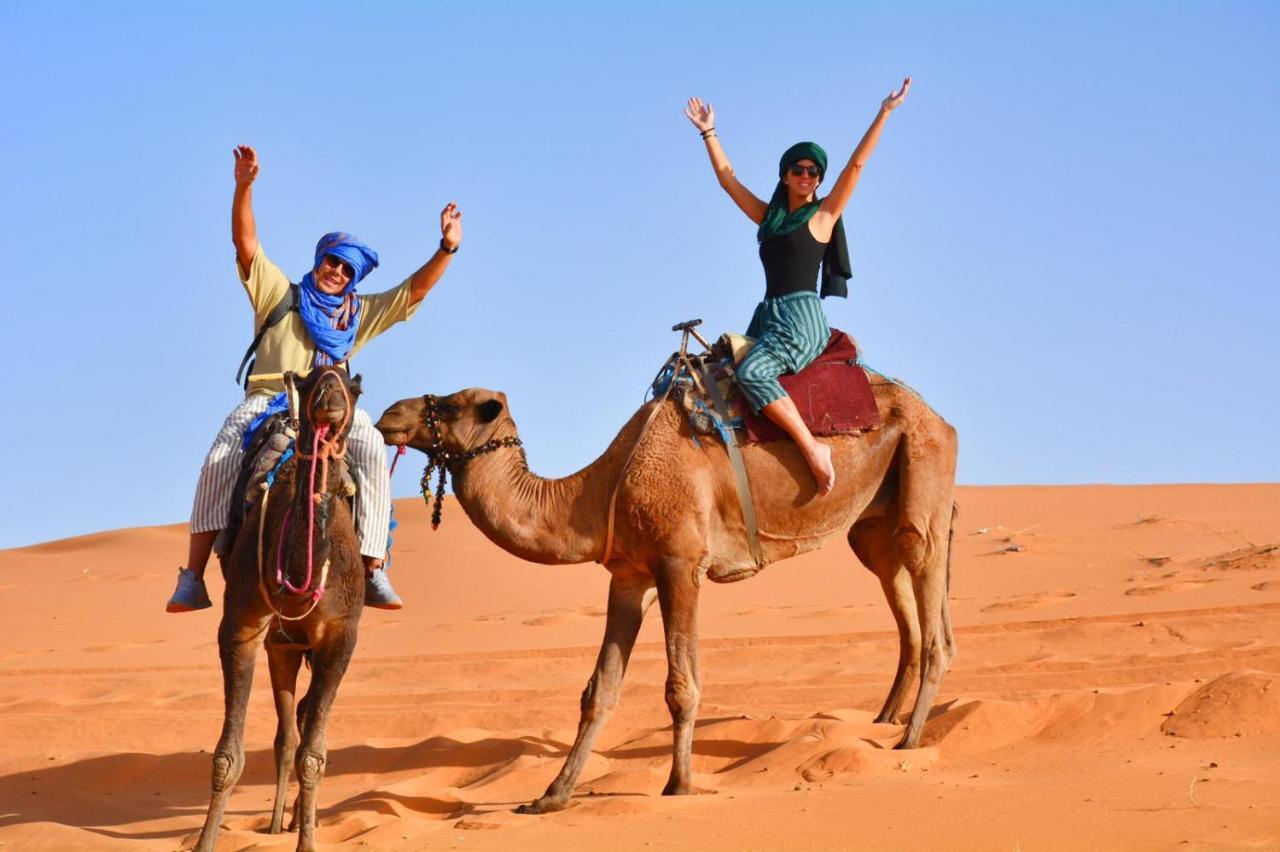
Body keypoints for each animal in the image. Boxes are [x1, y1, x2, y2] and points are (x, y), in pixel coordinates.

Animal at [195, 365, 366, 849]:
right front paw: (204, 842)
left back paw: (295, 821)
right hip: (282, 648)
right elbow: (227, 757)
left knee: (302, 726)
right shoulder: (243, 626)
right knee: (287, 734)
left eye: (355, 387)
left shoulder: (341, 634)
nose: (331, 398)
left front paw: (307, 842)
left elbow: (316, 755)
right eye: (307, 381)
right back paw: (275, 824)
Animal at [373, 370, 957, 808]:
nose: (389, 415)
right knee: (902, 589)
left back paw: (908, 739)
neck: (598, 490)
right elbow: (598, 691)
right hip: (874, 521)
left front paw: (678, 785)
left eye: (451, 404)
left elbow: (681, 686)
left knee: (927, 596)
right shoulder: (629, 577)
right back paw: (886, 721)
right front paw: (551, 796)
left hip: (923, 470)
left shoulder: (681, 564)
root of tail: (940, 416)